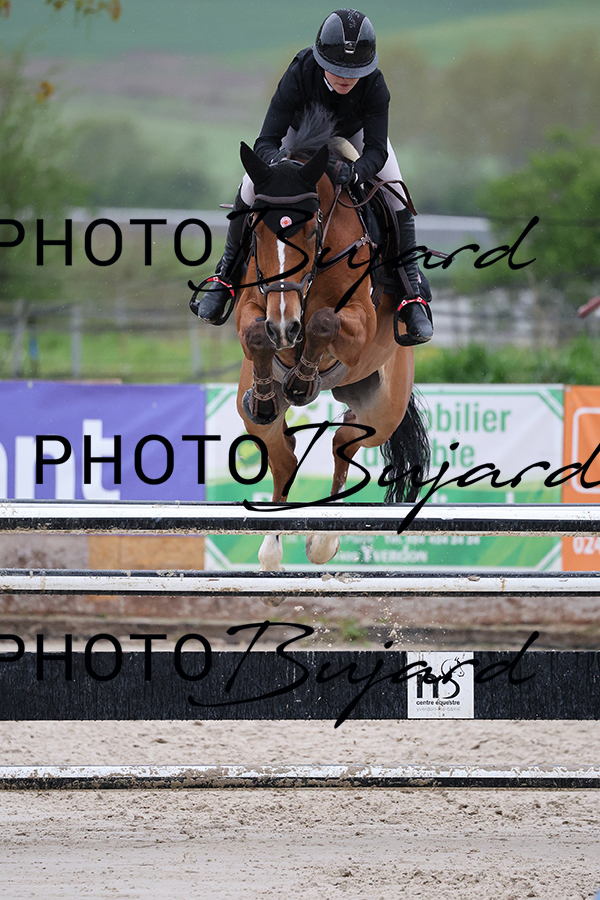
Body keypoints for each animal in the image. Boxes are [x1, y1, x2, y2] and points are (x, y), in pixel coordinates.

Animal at [233, 107, 430, 576]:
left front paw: (303, 379)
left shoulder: (360, 321)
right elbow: (255, 332)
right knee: (284, 454)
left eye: (309, 230)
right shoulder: (255, 304)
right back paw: (271, 545)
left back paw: (323, 540)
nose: (285, 327)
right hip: (255, 419)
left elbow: (323, 322)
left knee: (345, 441)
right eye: (257, 231)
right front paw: (272, 387)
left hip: (383, 410)